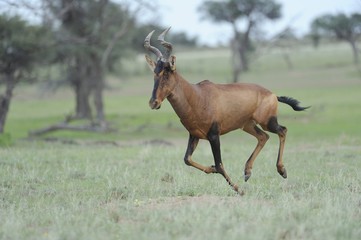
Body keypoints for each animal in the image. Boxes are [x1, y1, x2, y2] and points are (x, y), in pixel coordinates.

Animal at [142, 27, 308, 195]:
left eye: (166, 73)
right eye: (155, 73)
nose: (153, 103)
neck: (198, 96)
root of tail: (272, 94)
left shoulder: (214, 135)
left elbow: (220, 164)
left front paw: (238, 189)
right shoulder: (194, 135)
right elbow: (187, 159)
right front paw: (212, 169)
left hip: (268, 122)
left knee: (282, 130)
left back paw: (282, 170)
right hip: (247, 125)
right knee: (263, 137)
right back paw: (247, 172)